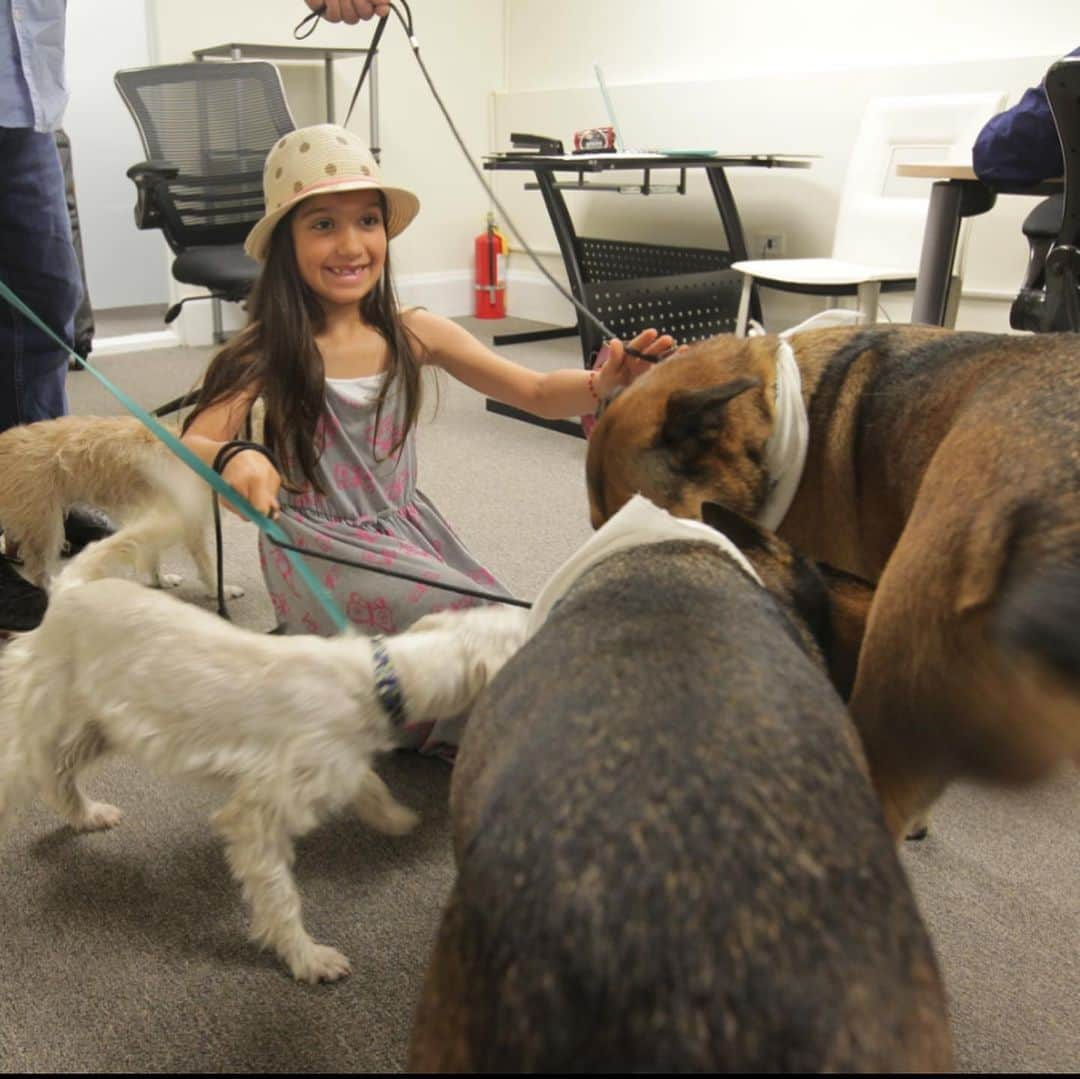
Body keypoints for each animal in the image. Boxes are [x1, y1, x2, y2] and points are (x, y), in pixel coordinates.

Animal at [0, 578, 527, 985]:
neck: (383, 678)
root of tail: (68, 589)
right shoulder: (258, 814)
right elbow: (280, 896)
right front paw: (309, 958)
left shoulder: (332, 763)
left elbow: (368, 783)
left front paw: (395, 818)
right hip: (44, 716)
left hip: (99, 727)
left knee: (59, 775)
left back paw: (89, 815)